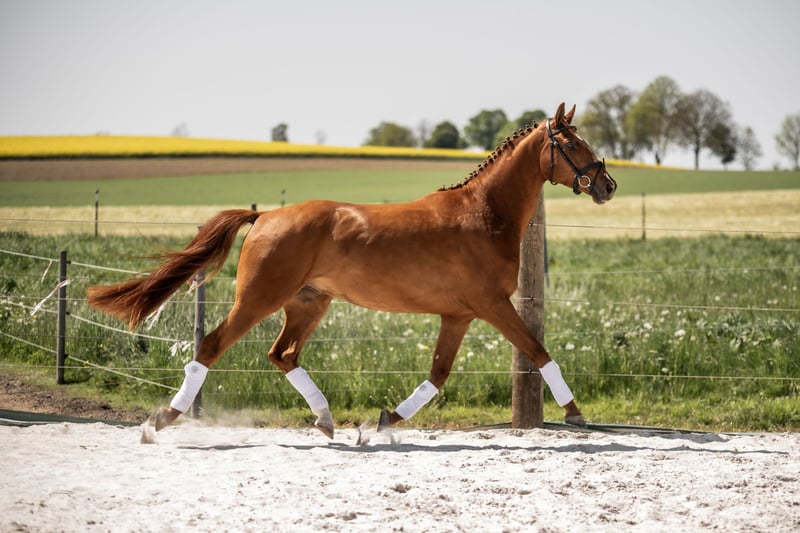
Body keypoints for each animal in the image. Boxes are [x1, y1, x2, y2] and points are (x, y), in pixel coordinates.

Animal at [87, 103, 616, 438]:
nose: (608, 185)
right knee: (213, 346)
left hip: (308, 303)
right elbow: (540, 352)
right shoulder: (491, 305)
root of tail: (266, 216)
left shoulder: (458, 315)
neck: (483, 214)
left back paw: (326, 421)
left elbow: (438, 375)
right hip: (259, 299)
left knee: (282, 355)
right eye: (572, 142)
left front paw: (381, 421)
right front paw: (575, 414)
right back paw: (163, 419)